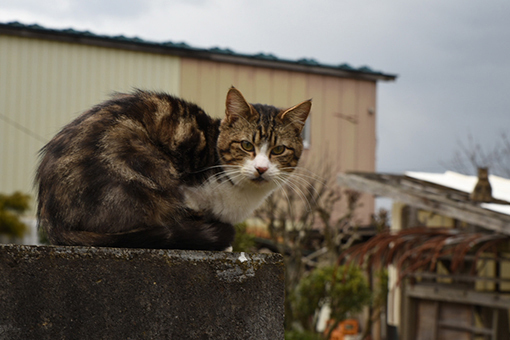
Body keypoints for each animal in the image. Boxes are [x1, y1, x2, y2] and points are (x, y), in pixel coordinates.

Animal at [35, 86, 310, 251]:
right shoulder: (187, 193)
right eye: (246, 145)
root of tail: (53, 221)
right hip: (141, 162)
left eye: (278, 150)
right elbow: (189, 213)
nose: (261, 168)